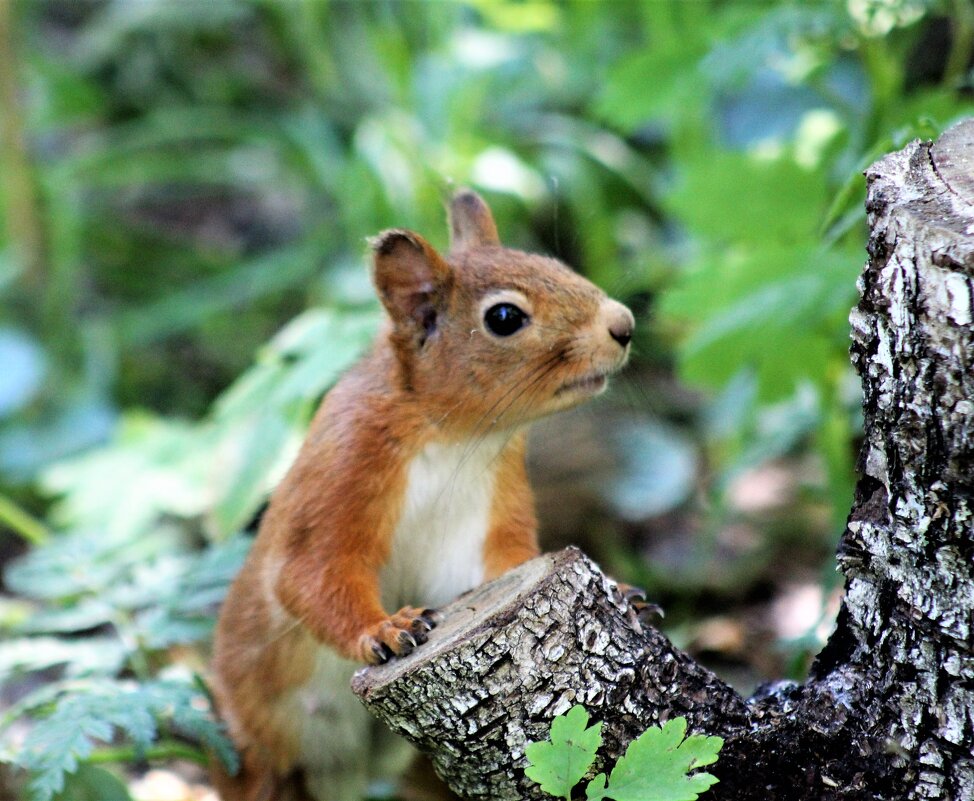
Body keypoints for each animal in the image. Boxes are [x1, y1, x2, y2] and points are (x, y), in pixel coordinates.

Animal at [210, 191, 636, 796]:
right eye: (504, 317)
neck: (453, 439)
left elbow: (506, 564)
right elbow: (310, 572)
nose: (623, 324)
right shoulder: (343, 467)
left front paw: (622, 588)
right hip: (261, 754)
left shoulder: (489, 509)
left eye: (552, 262)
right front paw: (384, 629)